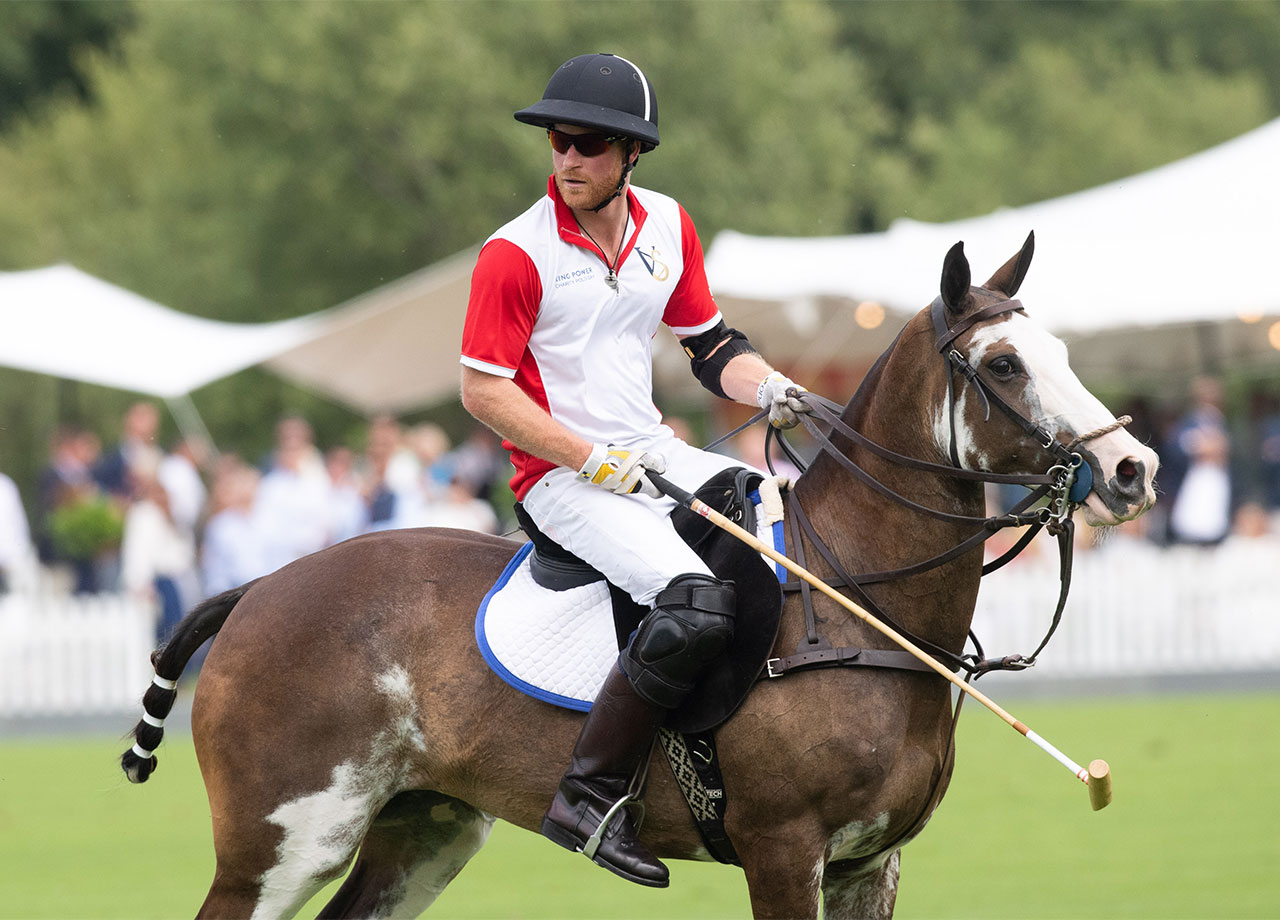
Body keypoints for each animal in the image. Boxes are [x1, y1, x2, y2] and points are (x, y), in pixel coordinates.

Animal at [120, 234, 1162, 916]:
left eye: (1065, 352)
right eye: (1005, 364)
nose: (1133, 469)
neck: (861, 604)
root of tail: (258, 590)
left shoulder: (873, 863)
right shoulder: (785, 849)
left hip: (425, 828)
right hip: (282, 841)